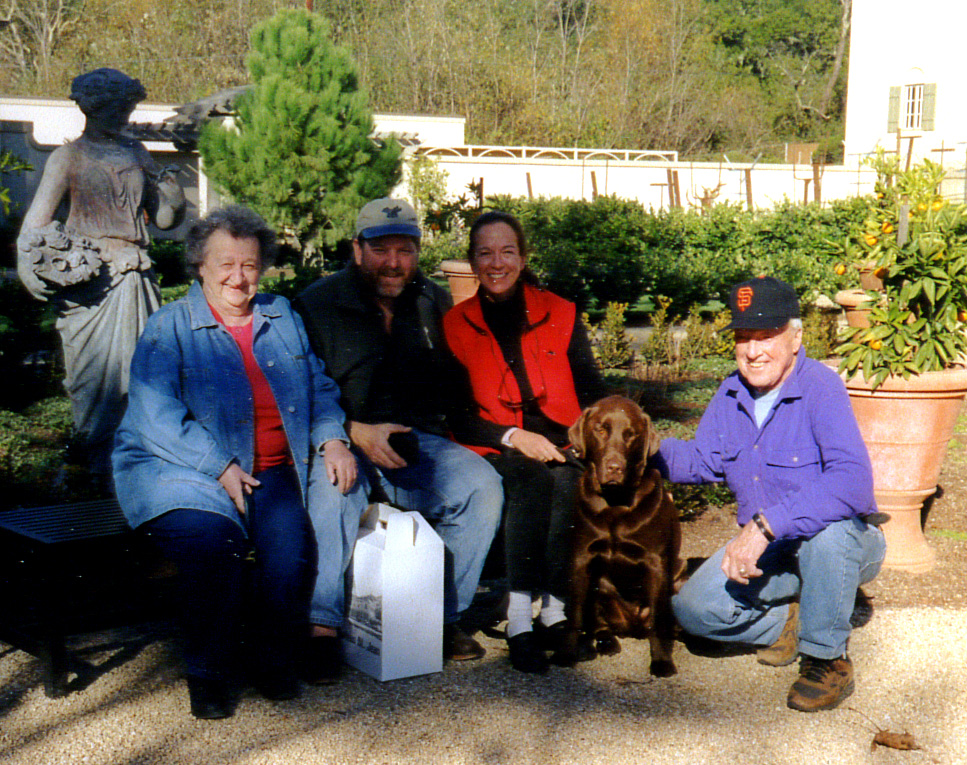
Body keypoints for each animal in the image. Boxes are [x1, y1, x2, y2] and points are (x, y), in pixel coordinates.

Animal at [558, 395, 683, 677]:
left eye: (631, 434)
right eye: (600, 429)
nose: (614, 468)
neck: (615, 502)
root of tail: (632, 624)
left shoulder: (656, 563)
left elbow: (657, 621)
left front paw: (661, 661)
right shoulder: (580, 559)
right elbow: (575, 614)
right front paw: (566, 654)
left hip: (680, 576)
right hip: (599, 586)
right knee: (598, 621)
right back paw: (605, 641)